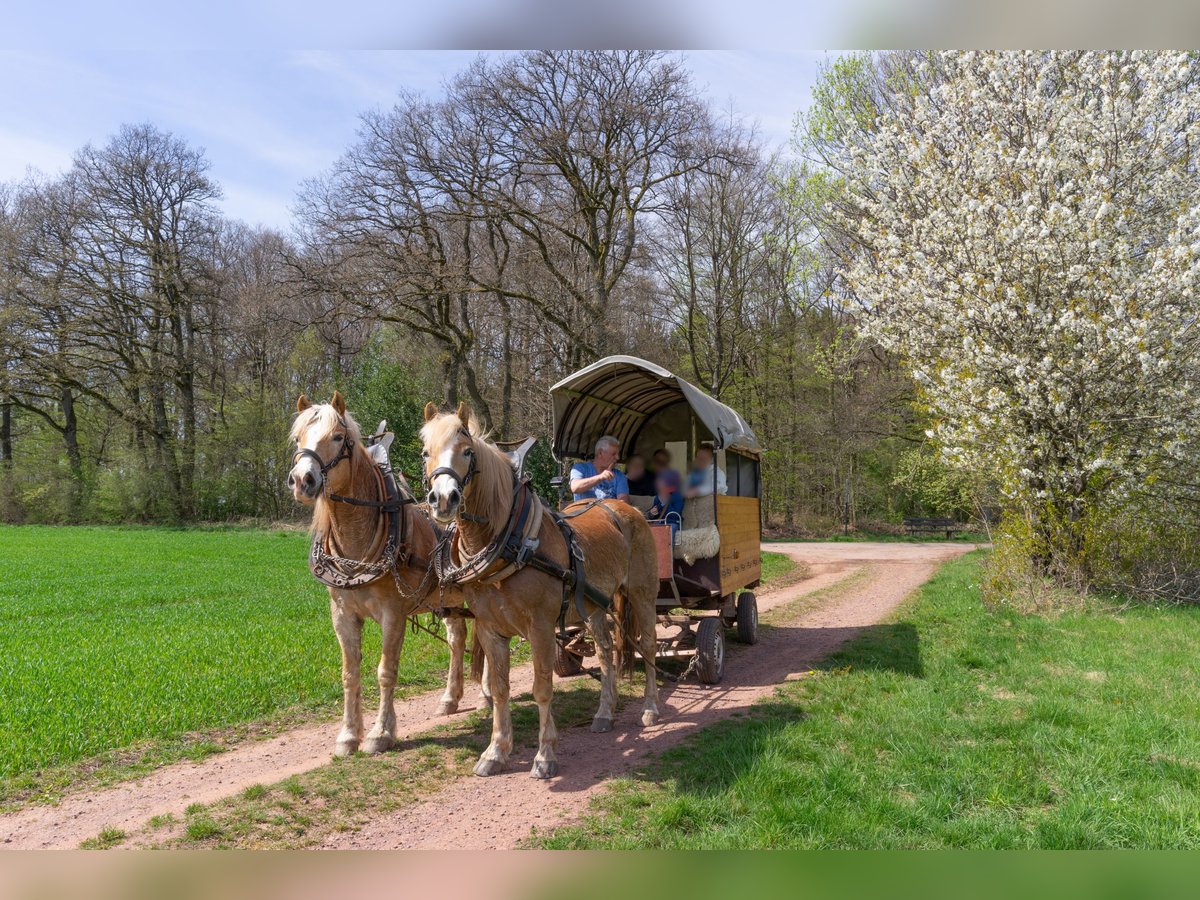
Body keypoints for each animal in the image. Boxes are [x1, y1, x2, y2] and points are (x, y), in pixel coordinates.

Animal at [286, 393, 487, 763]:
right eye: (298, 439)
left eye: (338, 437)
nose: (303, 480)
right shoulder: (342, 614)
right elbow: (349, 673)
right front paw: (348, 735)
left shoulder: (393, 614)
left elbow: (385, 671)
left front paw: (380, 734)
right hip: (449, 601)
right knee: (457, 640)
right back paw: (449, 699)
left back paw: (486, 695)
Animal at [422, 403, 662, 782]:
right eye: (425, 452)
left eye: (467, 451)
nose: (443, 499)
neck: (509, 544)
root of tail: (625, 507)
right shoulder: (490, 628)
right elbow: (501, 689)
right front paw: (495, 752)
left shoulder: (541, 628)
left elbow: (542, 688)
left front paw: (545, 756)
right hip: (594, 605)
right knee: (606, 651)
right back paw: (604, 713)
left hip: (642, 593)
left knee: (648, 645)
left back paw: (650, 709)